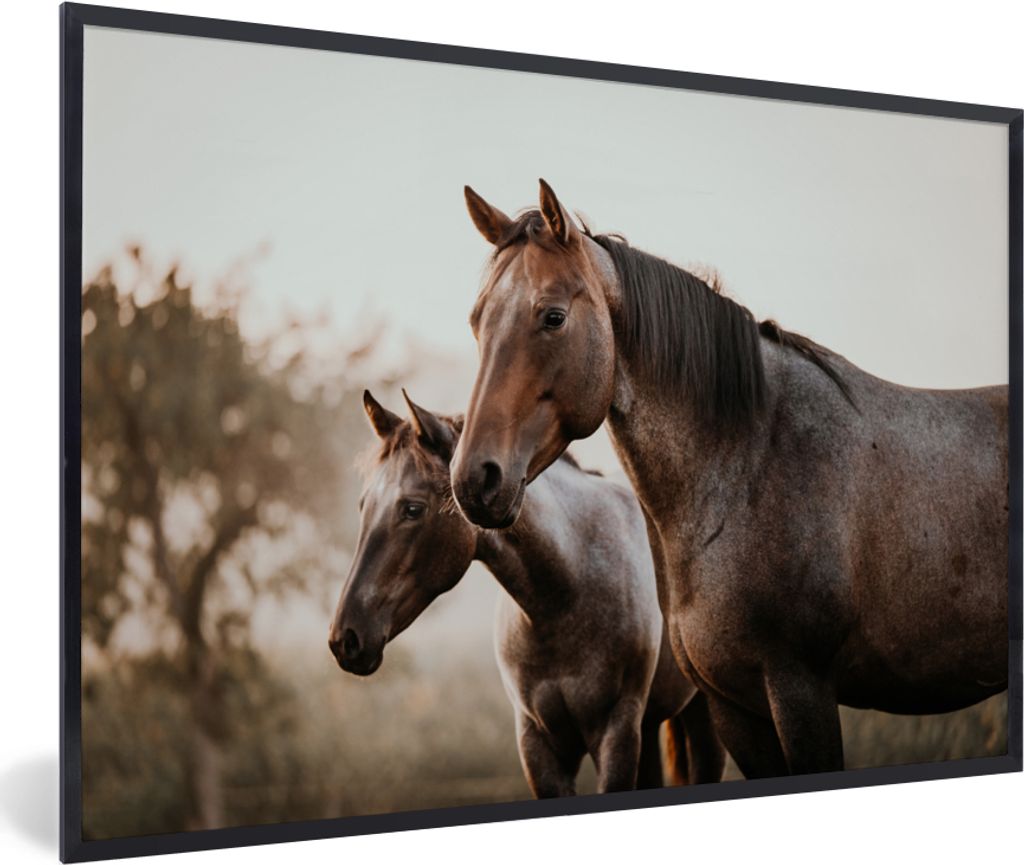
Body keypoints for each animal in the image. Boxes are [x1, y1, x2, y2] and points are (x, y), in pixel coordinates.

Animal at [328, 389, 725, 795]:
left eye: (412, 508)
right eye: (363, 505)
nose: (345, 639)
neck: (566, 596)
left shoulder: (615, 734)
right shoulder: (537, 744)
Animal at [449, 179, 1009, 778]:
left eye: (552, 317)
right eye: (477, 321)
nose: (474, 479)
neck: (750, 465)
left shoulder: (801, 690)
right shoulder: (732, 706)